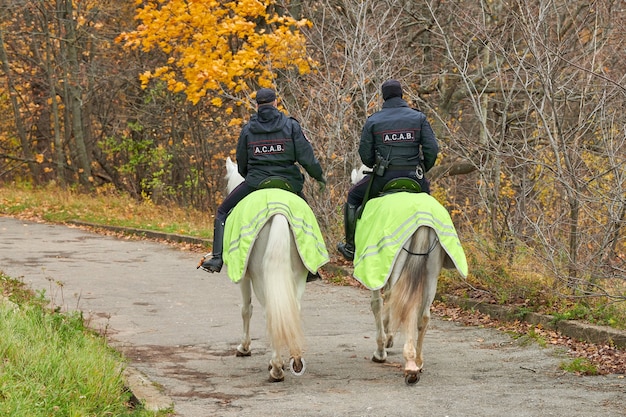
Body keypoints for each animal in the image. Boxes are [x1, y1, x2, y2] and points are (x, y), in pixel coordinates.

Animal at [223, 158, 308, 382]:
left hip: (261, 279)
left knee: (270, 311)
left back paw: (276, 367)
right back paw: (295, 359)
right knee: (292, 310)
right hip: (298, 275)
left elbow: (246, 309)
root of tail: (278, 211)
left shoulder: (244, 277)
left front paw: (244, 348)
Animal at [352, 165, 464, 384]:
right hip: (431, 274)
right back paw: (417, 362)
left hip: (398, 265)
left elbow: (378, 304)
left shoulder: (376, 271)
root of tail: (421, 219)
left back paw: (409, 364)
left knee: (400, 303)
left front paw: (382, 348)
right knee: (423, 316)